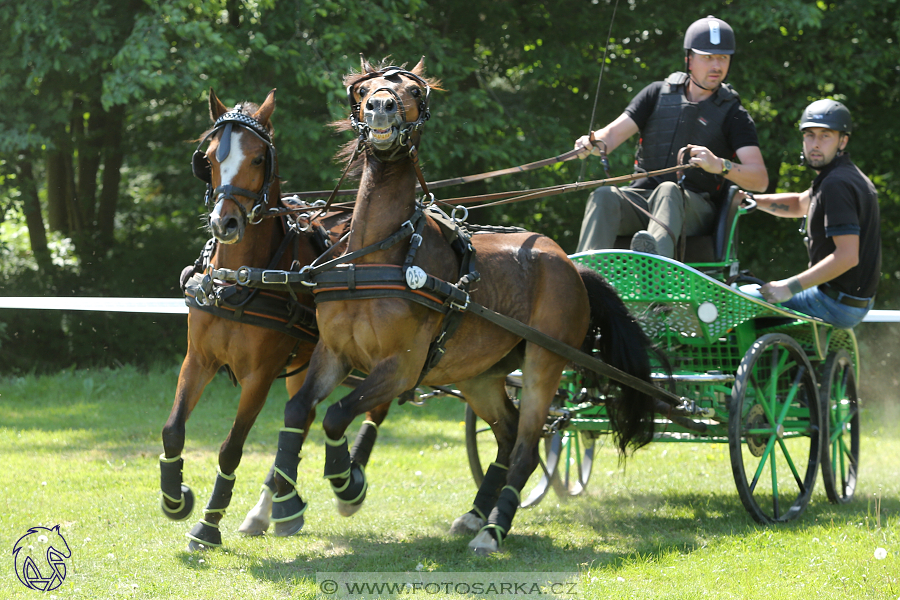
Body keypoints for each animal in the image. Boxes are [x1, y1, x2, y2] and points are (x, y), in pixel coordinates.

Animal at [161, 86, 390, 552]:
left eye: (257, 159)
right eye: (208, 158)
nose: (225, 223)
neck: (239, 278)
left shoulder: (260, 374)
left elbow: (231, 448)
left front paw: (208, 526)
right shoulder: (198, 360)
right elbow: (173, 429)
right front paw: (176, 499)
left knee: (372, 406)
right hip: (304, 365)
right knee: (302, 418)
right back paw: (274, 507)